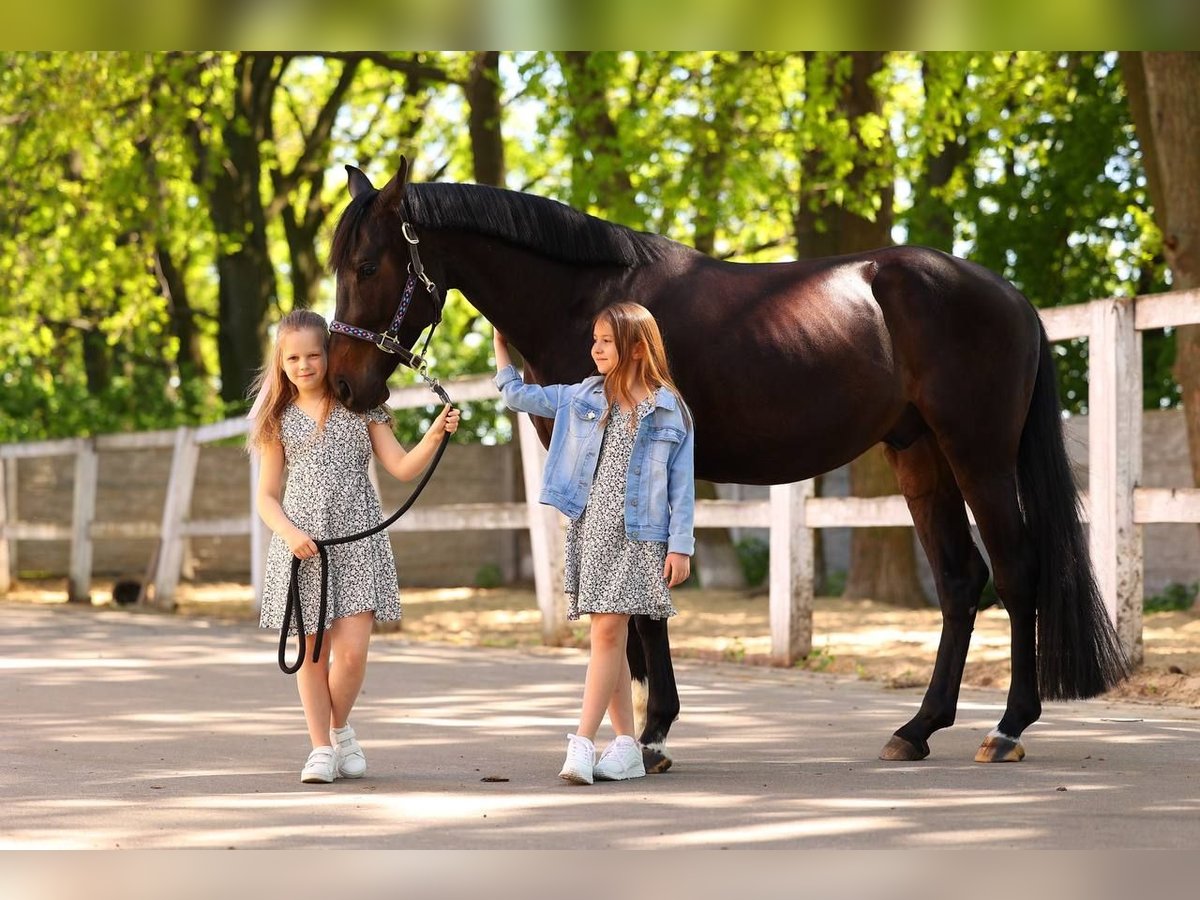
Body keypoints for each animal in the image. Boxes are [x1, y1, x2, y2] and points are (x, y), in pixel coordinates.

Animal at [326, 160, 1123, 768]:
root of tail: (1011, 296)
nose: (344, 386)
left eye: (367, 265)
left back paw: (1007, 728)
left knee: (1016, 572)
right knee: (961, 581)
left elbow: (645, 600)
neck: (592, 302)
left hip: (977, 452)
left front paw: (652, 735)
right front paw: (637, 724)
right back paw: (917, 730)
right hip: (919, 455)